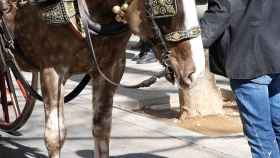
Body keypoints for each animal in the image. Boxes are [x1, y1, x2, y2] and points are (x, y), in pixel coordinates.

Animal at [1, 0, 205, 157]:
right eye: (167, 7)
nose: (196, 72)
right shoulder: (52, 70)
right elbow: (55, 136)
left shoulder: (110, 68)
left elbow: (102, 128)